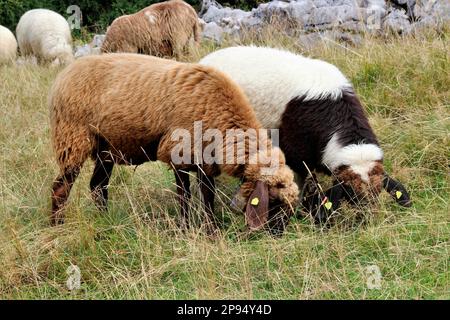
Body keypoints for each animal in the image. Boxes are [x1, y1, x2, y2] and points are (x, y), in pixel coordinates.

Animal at [48, 53, 298, 236]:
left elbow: (208, 196)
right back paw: (57, 226)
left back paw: (105, 219)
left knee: (98, 186)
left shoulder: (205, 161)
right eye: (274, 201)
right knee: (61, 188)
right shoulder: (179, 154)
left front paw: (211, 228)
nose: (279, 235)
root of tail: (63, 75)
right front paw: (187, 228)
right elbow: (185, 196)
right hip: (72, 138)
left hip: (105, 148)